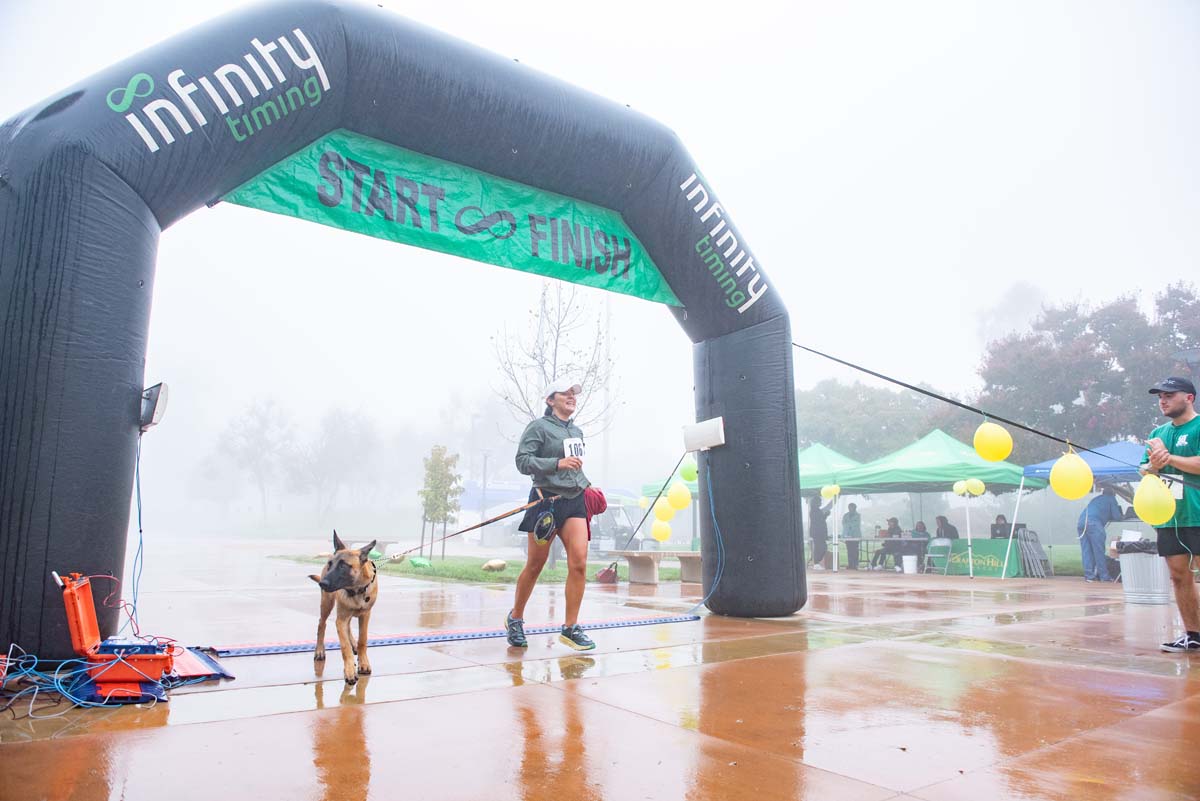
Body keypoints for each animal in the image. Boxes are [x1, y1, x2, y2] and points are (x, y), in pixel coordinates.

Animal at [309, 527, 379, 685]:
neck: (356, 590)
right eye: (330, 564)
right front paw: (349, 670)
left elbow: (362, 639)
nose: (322, 583)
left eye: (343, 565)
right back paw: (320, 651)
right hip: (327, 604)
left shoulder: (365, 615)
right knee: (321, 624)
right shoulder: (340, 619)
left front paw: (363, 662)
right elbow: (344, 646)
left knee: (348, 628)